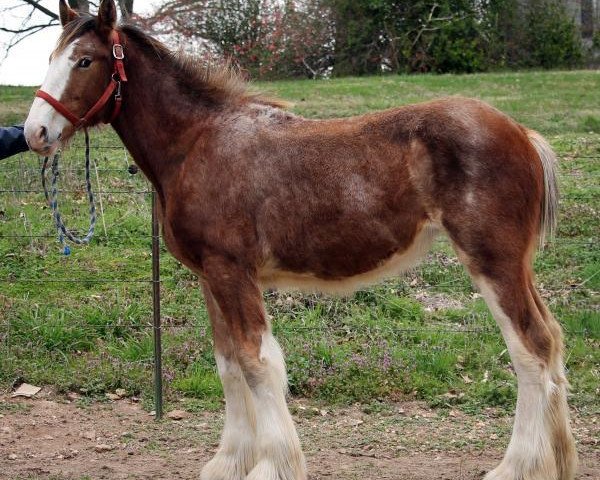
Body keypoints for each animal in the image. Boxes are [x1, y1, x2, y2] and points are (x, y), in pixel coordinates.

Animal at [24, 1, 576, 478]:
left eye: (85, 60)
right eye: (50, 58)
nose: (35, 133)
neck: (197, 144)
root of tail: (522, 134)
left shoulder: (233, 272)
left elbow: (257, 363)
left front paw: (272, 466)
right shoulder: (211, 278)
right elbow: (228, 365)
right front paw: (229, 462)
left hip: (493, 261)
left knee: (530, 349)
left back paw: (517, 467)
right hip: (516, 266)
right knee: (551, 341)